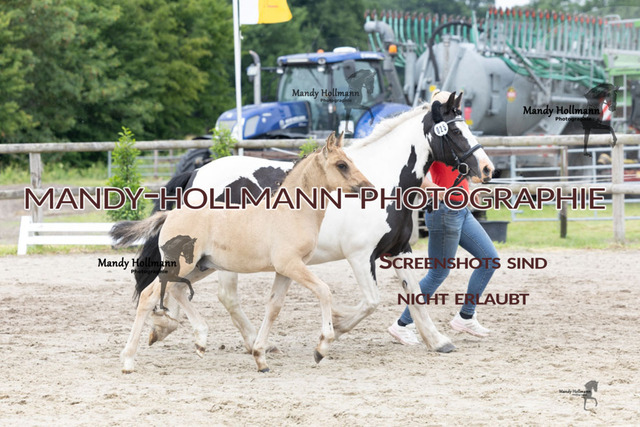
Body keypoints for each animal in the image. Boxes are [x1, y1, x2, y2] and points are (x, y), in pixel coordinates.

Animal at [111, 132, 373, 373]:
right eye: (341, 165)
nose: (369, 190)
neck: (292, 212)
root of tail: (170, 214)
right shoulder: (292, 265)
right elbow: (324, 291)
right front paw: (321, 348)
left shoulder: (284, 270)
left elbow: (274, 307)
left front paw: (260, 357)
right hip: (182, 264)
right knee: (149, 295)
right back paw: (128, 360)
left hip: (201, 266)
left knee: (176, 289)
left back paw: (200, 340)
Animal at [129, 91, 494, 364]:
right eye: (456, 132)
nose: (487, 168)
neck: (385, 182)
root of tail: (196, 174)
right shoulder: (360, 256)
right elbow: (370, 302)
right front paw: (334, 328)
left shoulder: (397, 250)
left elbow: (415, 295)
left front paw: (438, 341)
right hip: (224, 262)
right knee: (224, 297)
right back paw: (253, 343)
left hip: (205, 260)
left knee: (176, 285)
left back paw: (164, 327)